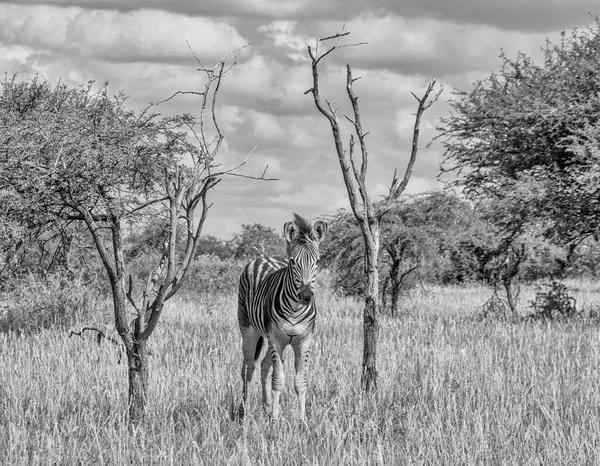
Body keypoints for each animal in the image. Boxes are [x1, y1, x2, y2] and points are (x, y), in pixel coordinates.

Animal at [238, 213, 328, 424]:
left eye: (317, 261)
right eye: (293, 262)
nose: (306, 296)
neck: (295, 309)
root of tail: (263, 257)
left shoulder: (304, 340)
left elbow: (300, 381)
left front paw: (302, 421)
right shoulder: (276, 339)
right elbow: (278, 380)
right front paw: (275, 420)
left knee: (263, 365)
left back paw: (266, 406)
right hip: (249, 330)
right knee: (248, 368)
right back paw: (244, 412)